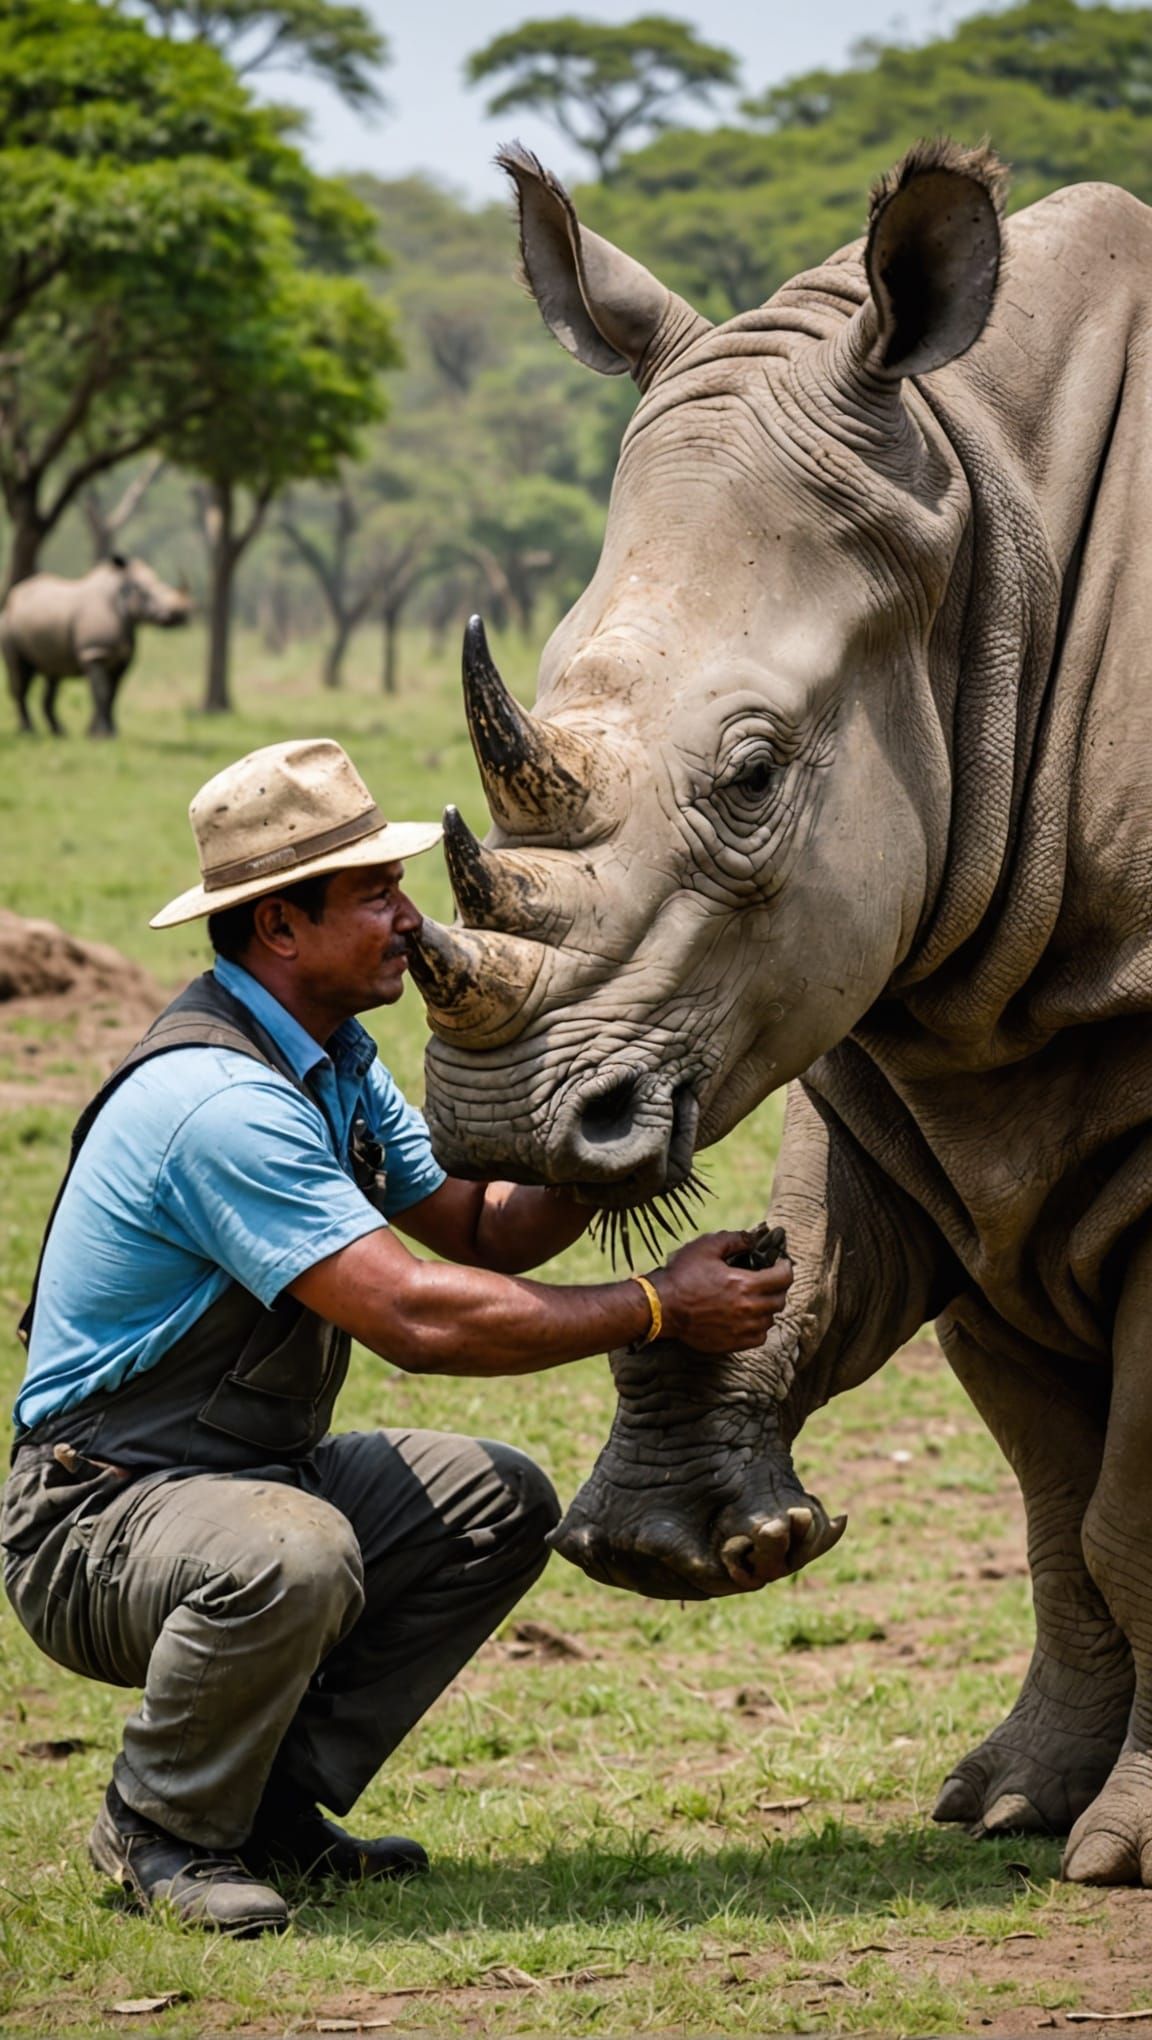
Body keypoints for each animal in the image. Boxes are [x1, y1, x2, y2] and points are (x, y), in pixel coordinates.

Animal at [2, 554, 190, 738]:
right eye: (144, 593)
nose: (178, 614)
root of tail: (13, 597)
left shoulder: (122, 661)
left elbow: (113, 694)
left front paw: (109, 731)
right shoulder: (95, 653)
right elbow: (101, 692)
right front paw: (102, 734)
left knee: (53, 674)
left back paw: (59, 732)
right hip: (8, 623)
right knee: (20, 674)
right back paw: (27, 731)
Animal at [408, 138, 1152, 1889]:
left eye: (752, 778)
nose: (501, 1122)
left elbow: (1129, 1508)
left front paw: (1117, 1854)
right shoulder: (942, 1037)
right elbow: (1049, 1493)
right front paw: (1012, 1804)